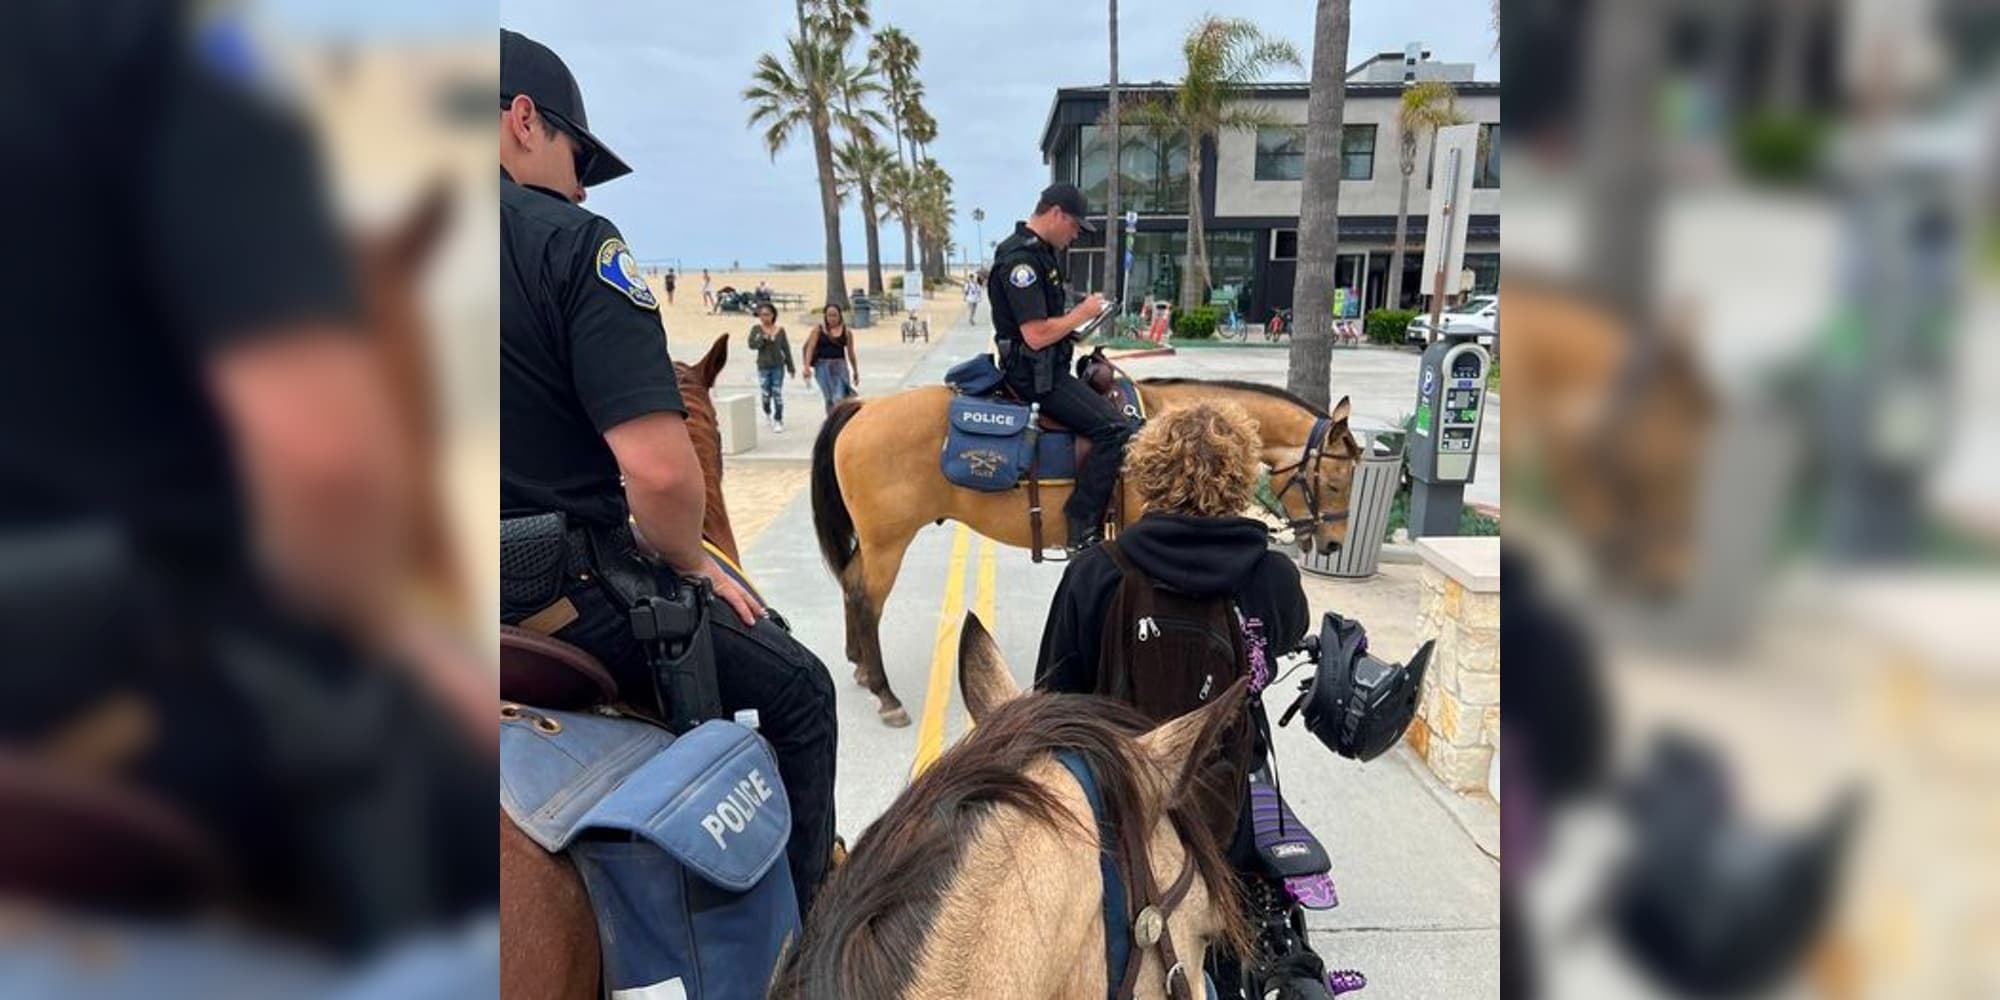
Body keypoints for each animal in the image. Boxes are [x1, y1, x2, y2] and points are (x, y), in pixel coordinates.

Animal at [812, 378, 1360, 724]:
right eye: (1334, 481)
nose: (1333, 543)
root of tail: (865, 408)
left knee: (851, 585)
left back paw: (860, 666)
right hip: (888, 542)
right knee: (865, 598)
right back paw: (884, 692)